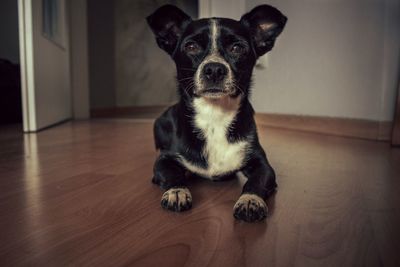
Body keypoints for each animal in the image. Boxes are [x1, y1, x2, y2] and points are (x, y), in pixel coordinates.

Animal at [147, 4, 288, 223]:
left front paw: (250, 200)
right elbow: (171, 174)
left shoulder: (263, 164)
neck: (214, 116)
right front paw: (177, 191)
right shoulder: (165, 160)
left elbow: (256, 182)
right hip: (159, 124)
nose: (214, 69)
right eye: (191, 47)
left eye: (237, 48)